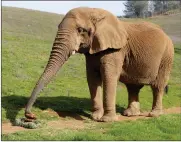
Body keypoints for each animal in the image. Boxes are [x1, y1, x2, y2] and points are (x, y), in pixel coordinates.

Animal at [24, 7, 175, 121]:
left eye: (80, 30)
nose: (31, 115)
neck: (95, 13)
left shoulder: (115, 50)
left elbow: (109, 76)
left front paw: (106, 120)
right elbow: (92, 77)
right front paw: (95, 117)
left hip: (167, 56)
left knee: (157, 86)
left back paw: (154, 114)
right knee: (132, 86)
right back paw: (130, 114)